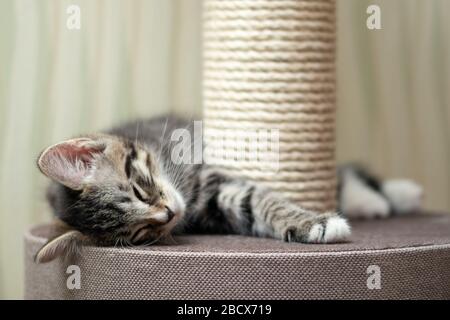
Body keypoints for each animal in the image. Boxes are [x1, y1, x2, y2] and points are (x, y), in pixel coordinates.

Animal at [34, 115, 422, 262]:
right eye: (141, 234)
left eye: (141, 189)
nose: (170, 214)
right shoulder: (210, 204)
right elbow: (249, 205)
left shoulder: (207, 170)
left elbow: (261, 197)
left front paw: (318, 223)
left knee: (346, 173)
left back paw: (387, 196)